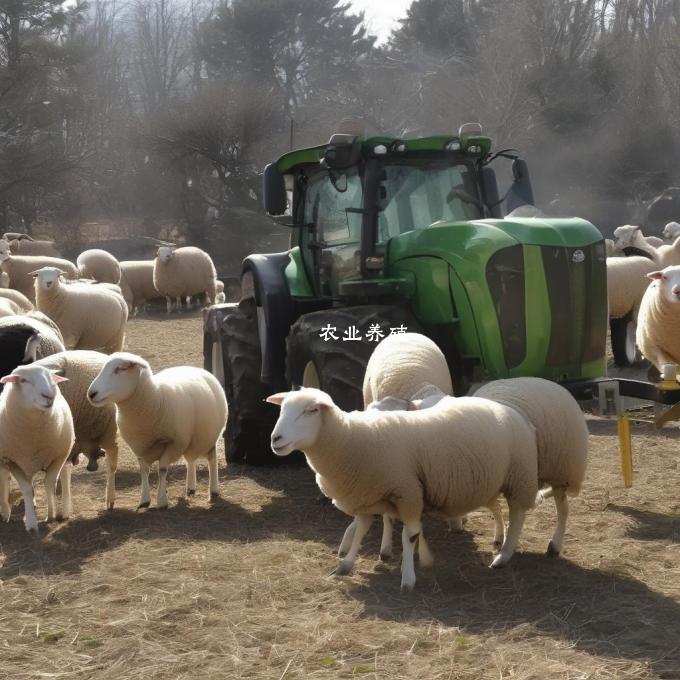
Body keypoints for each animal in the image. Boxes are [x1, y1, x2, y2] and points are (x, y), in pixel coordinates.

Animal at [0, 364, 74, 532]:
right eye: (23, 380)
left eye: (51, 378)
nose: (49, 396)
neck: (34, 438)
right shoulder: (11, 461)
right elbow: (26, 489)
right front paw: (31, 523)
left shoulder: (59, 457)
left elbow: (49, 483)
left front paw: (51, 515)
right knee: (6, 479)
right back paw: (5, 511)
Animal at [85, 354, 226, 508]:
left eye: (120, 369)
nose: (91, 394)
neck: (155, 398)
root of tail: (196, 368)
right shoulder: (139, 446)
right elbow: (144, 471)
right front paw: (144, 500)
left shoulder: (173, 443)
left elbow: (162, 470)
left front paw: (161, 500)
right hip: (190, 440)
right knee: (190, 461)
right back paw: (190, 487)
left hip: (208, 437)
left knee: (212, 459)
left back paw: (213, 490)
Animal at [266, 388, 536, 588]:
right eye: (282, 409)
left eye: (311, 410)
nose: (275, 439)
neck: (352, 438)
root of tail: (506, 408)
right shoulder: (371, 495)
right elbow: (363, 529)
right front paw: (345, 565)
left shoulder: (407, 492)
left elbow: (410, 535)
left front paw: (408, 577)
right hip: (490, 480)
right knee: (498, 508)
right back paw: (499, 540)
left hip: (519, 477)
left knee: (518, 515)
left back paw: (504, 555)